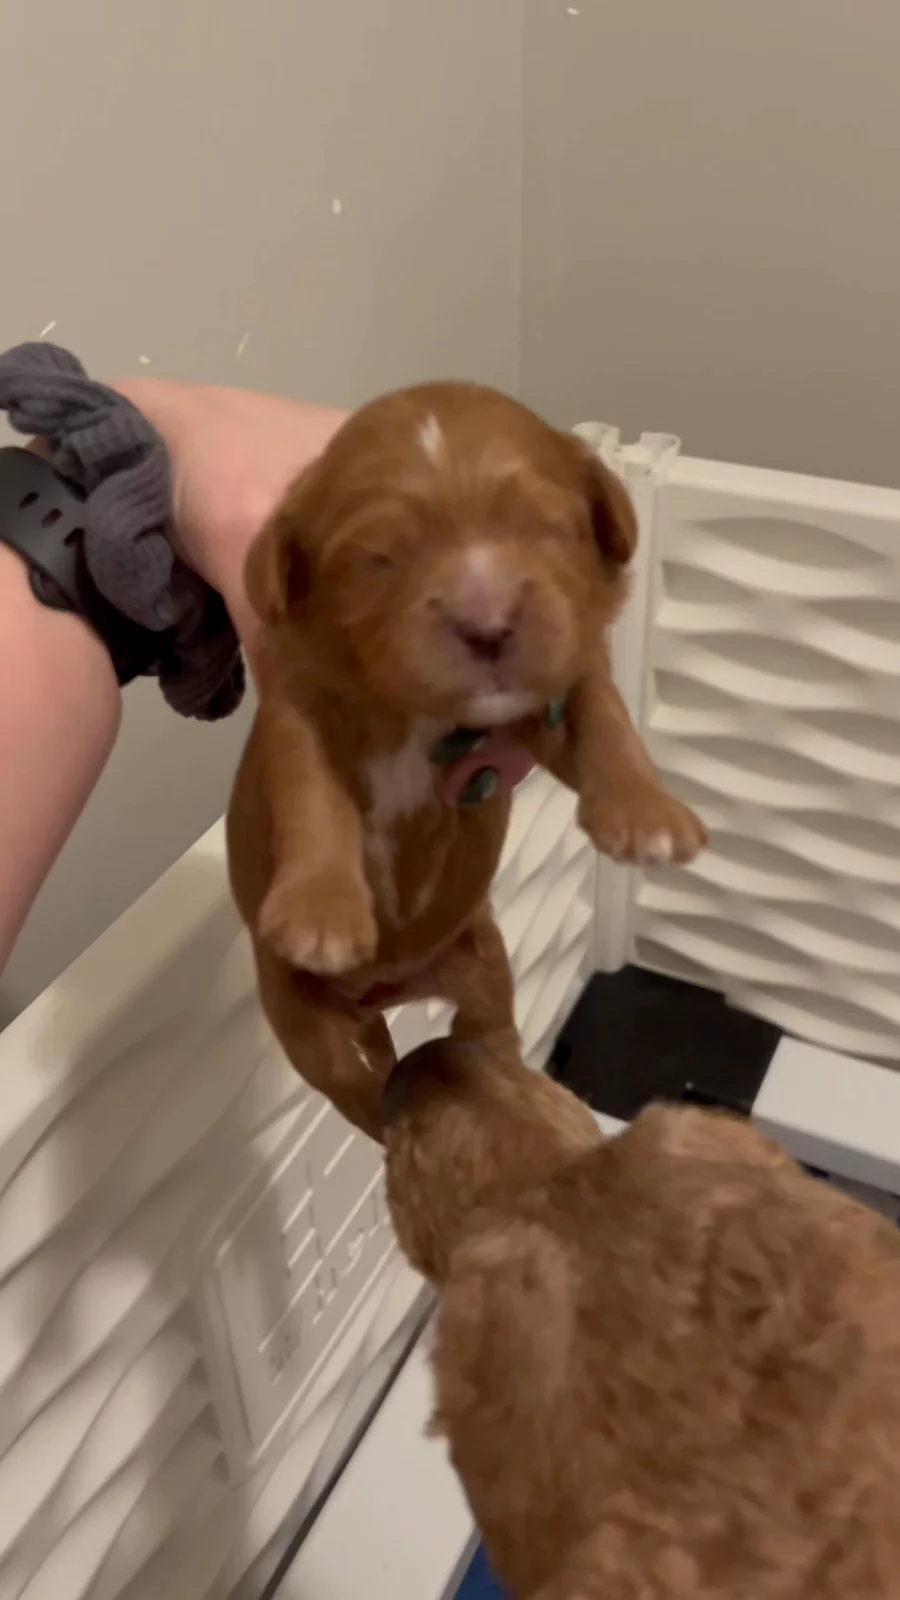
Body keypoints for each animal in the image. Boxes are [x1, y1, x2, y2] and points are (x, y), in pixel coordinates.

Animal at [227, 382, 706, 1136]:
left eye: (546, 527)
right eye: (379, 558)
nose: (488, 625)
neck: (417, 719)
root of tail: (387, 991)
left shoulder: (557, 685)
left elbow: (605, 715)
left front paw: (647, 813)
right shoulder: (296, 708)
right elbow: (314, 798)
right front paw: (321, 912)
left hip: (482, 960)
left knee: (484, 1031)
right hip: (298, 1017)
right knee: (353, 1085)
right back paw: (393, 1109)